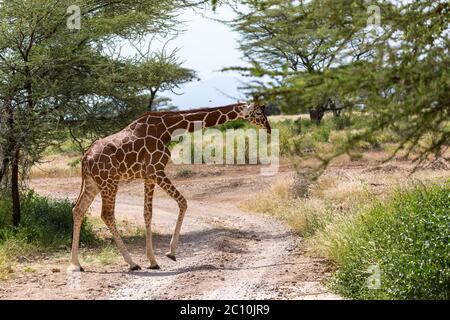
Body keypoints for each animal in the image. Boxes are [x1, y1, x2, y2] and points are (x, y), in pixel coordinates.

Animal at [67, 101, 270, 272]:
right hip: (109, 181)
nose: (268, 128)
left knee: (78, 209)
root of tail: (85, 158)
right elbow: (183, 202)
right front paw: (170, 253)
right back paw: (132, 263)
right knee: (107, 214)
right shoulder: (157, 170)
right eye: (258, 112)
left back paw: (76, 264)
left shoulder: (149, 176)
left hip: (93, 182)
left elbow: (147, 213)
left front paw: (153, 261)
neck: (168, 128)